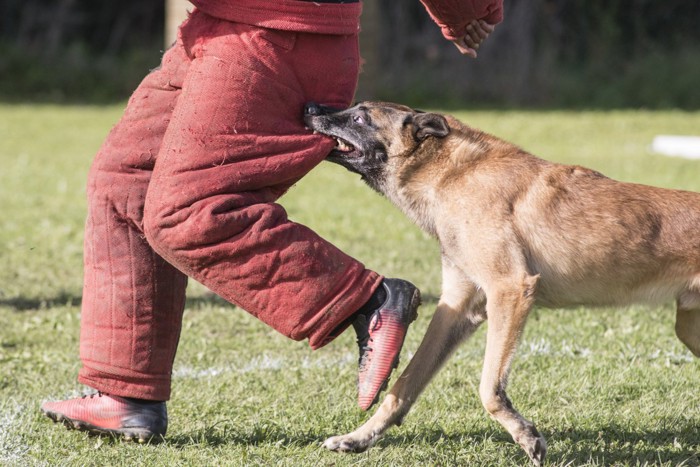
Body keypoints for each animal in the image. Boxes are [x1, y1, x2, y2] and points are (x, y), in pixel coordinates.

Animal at [304, 101, 700, 464]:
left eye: (359, 117)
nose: (309, 109)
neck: (448, 173)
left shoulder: (510, 290)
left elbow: (488, 389)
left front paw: (527, 437)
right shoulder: (457, 306)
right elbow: (405, 383)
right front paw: (359, 437)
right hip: (688, 328)